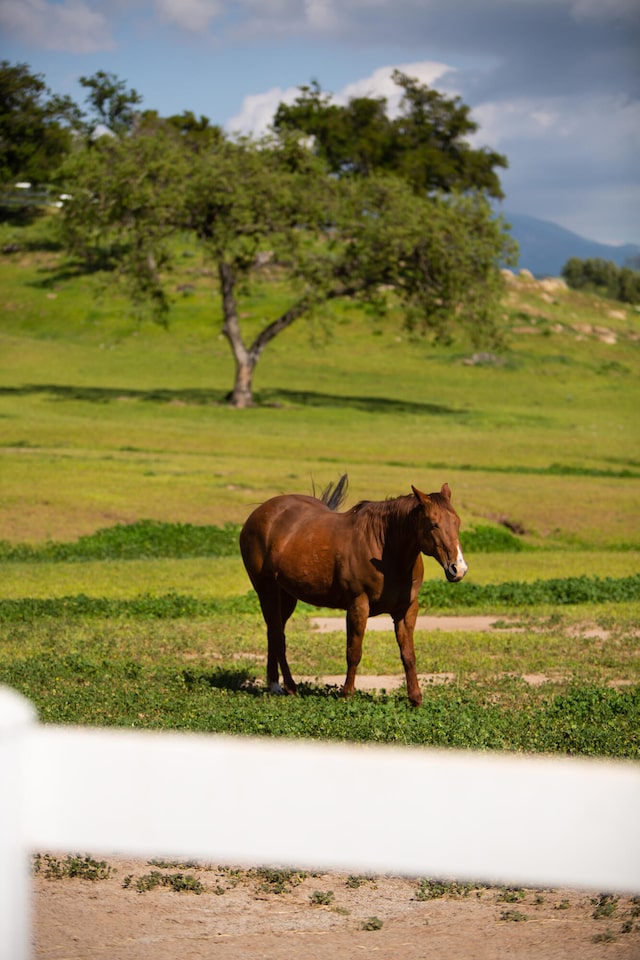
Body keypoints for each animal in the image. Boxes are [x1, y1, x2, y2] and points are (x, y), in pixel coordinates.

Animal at [238, 474, 468, 704]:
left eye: (457, 522)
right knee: (277, 636)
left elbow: (408, 654)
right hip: (266, 590)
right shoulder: (358, 605)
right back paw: (289, 686)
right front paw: (346, 693)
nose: (458, 568)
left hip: (286, 595)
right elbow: (354, 651)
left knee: (274, 631)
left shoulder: (407, 609)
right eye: (433, 524)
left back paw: (274, 684)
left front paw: (415, 698)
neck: (384, 548)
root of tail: (260, 513)